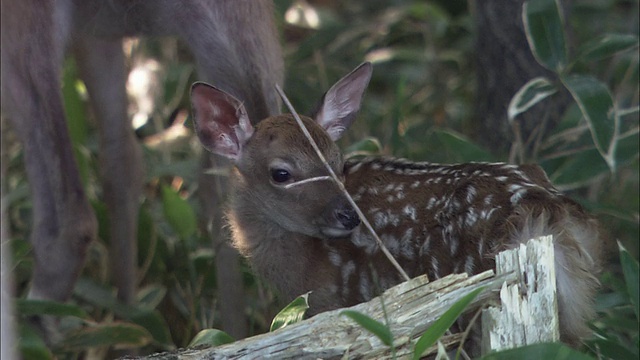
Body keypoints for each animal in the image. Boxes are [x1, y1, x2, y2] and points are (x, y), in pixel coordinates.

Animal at [190, 62, 600, 346]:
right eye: (281, 173)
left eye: (337, 162)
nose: (348, 216)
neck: (302, 262)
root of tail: (545, 209)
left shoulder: (335, 302)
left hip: (475, 298)